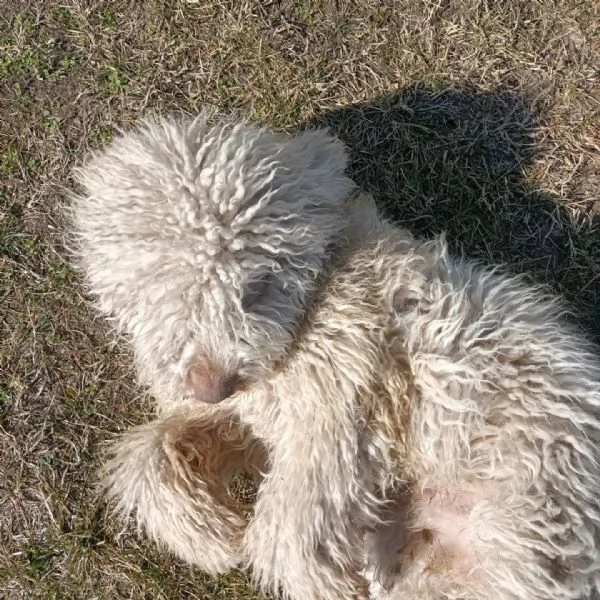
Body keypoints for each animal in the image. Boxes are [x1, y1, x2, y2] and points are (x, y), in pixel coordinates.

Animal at [68, 113, 600, 600]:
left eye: (258, 284)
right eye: (153, 290)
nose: (212, 386)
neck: (319, 294)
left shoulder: (339, 415)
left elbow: (288, 528)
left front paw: (320, 581)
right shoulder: (255, 416)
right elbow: (149, 450)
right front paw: (208, 538)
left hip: (519, 537)